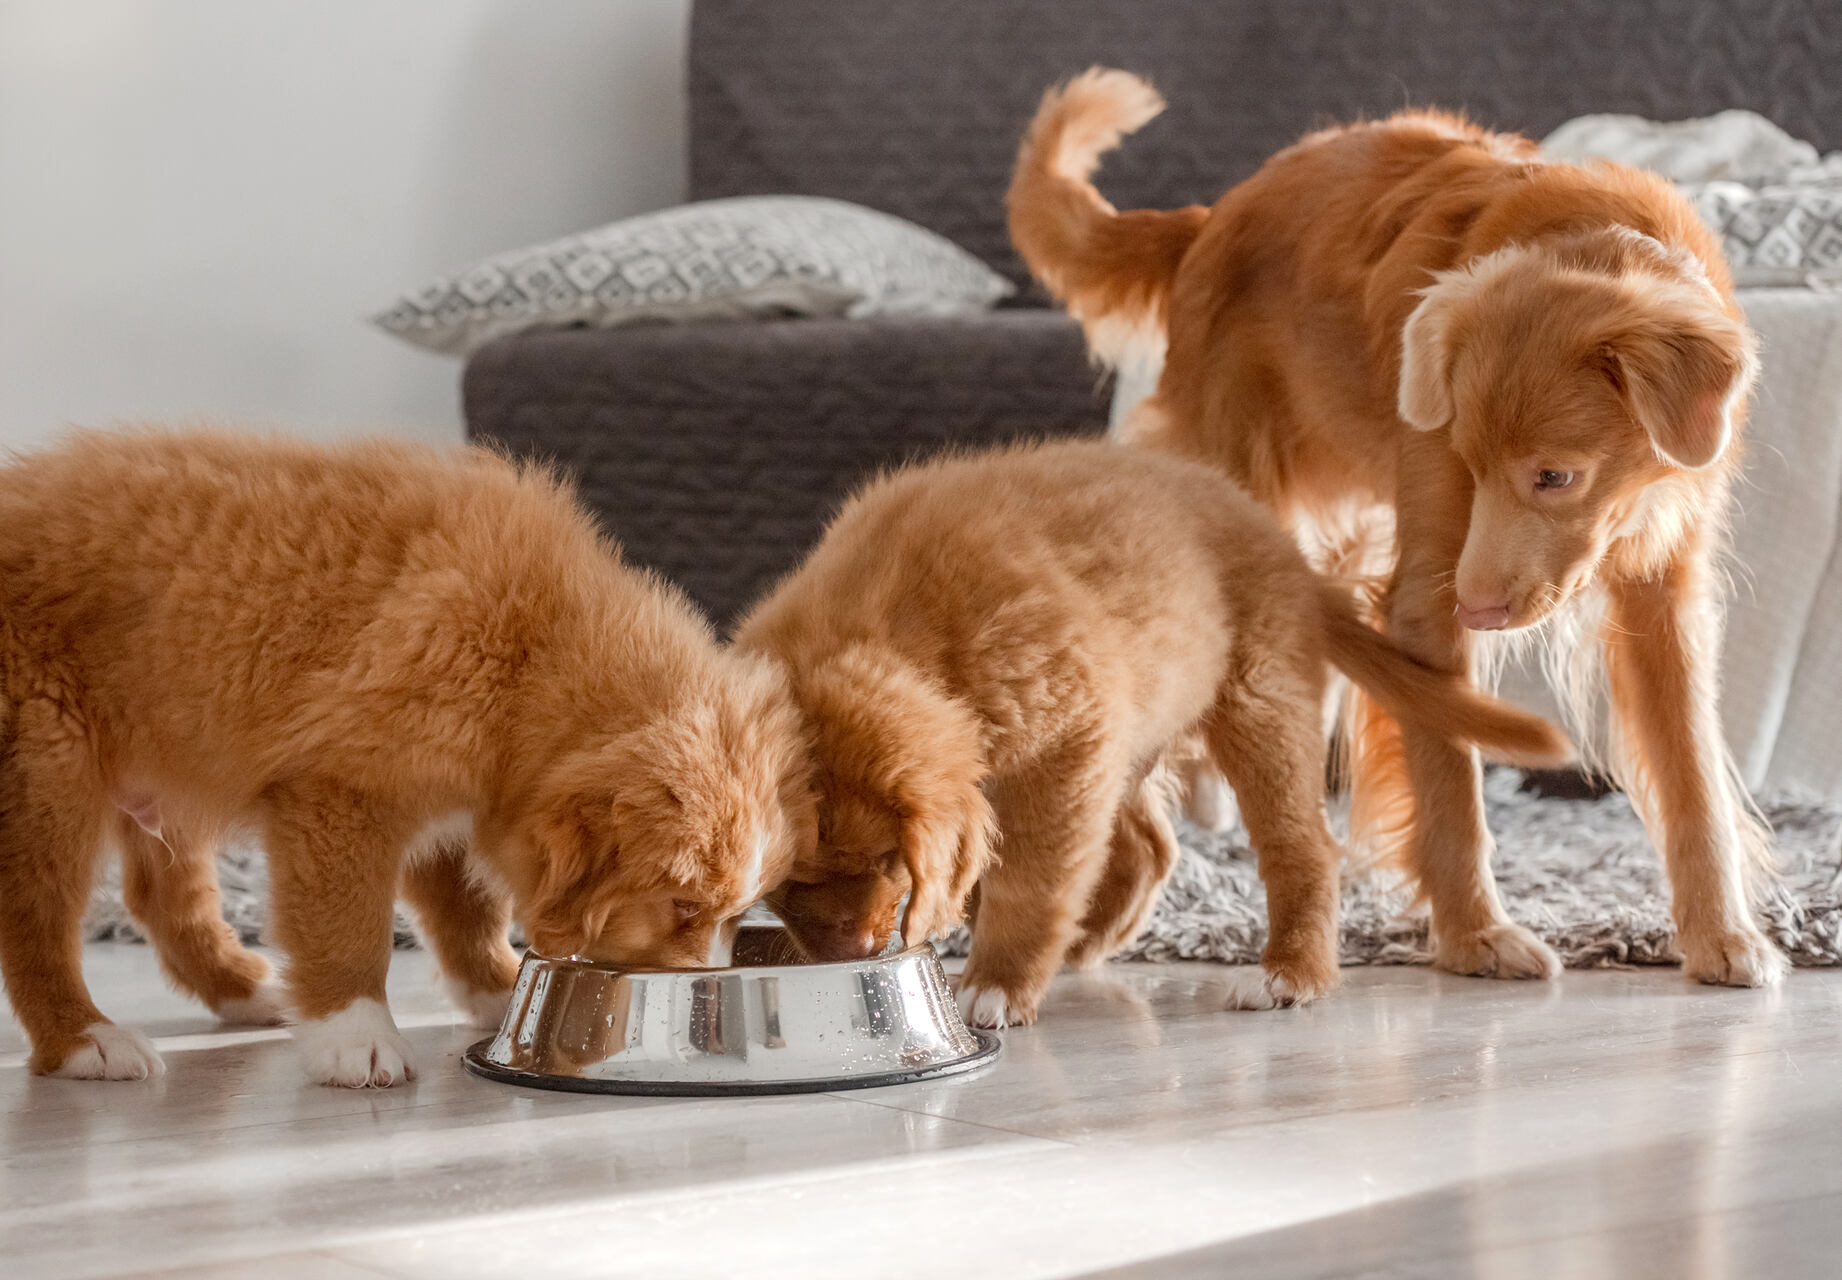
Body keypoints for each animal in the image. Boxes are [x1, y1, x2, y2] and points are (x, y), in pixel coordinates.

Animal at [0, 427, 810, 1082]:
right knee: (37, 920)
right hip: (46, 767)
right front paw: (356, 1039)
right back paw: (86, 1040)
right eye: (682, 905)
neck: (530, 653)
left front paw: (498, 988)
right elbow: (349, 931)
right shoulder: (341, 792)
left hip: (168, 767)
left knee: (163, 898)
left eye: (735, 913)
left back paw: (246, 990)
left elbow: (465, 912)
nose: (702, 1002)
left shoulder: (446, 800)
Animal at [733, 445, 1569, 1024]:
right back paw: (1089, 944)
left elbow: (1030, 884)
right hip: (1143, 717)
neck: (897, 629)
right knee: (1147, 846)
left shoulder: (1066, 742)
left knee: (1301, 849)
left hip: (1259, 703)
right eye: (788, 880)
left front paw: (997, 983)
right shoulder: (1077, 746)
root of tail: (1285, 546)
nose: (855, 956)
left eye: (886, 859)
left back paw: (1289, 975)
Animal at [1009, 67, 1783, 994]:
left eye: (1554, 476)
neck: (1589, 234)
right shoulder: (1427, 597)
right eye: (1471, 462)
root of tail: (1210, 219)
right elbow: (1450, 779)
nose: (1478, 610)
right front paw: (1476, 936)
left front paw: (1723, 936)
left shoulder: (1664, 598)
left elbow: (1695, 779)